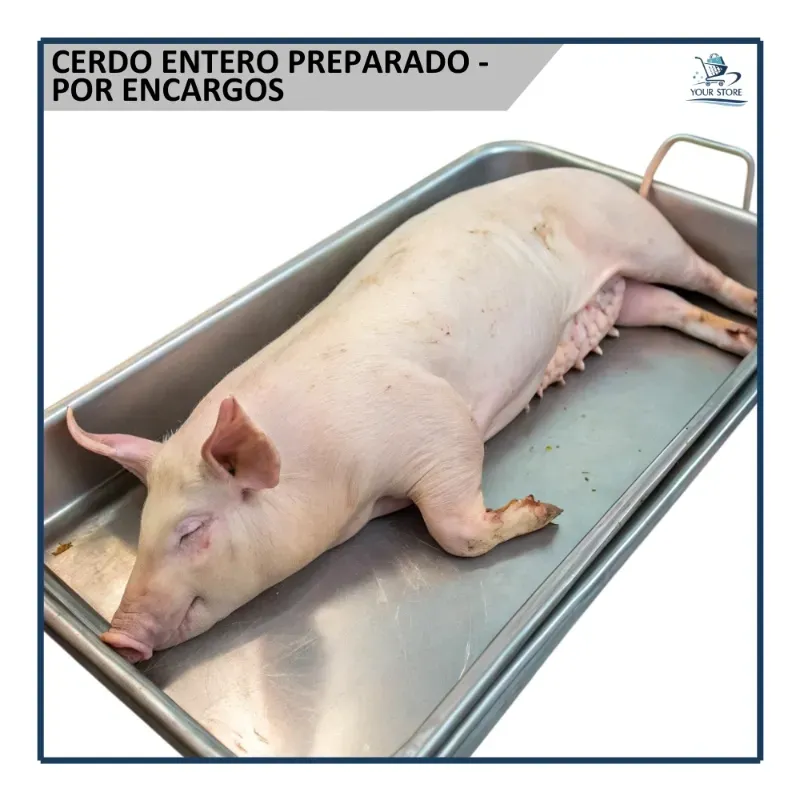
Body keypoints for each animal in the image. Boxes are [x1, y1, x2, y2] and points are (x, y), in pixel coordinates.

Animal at [66, 166, 757, 663]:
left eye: (192, 530)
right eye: (144, 526)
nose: (116, 638)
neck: (345, 492)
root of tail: (608, 178)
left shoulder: (438, 426)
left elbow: (456, 531)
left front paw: (545, 511)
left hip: (647, 237)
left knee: (704, 274)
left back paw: (751, 311)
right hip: (631, 294)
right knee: (670, 306)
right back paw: (741, 340)